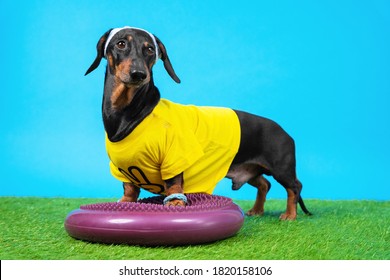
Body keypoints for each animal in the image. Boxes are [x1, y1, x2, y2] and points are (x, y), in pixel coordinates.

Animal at [85, 26, 310, 220]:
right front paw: (125, 202)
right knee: (264, 184)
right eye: (121, 44)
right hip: (251, 169)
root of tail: (284, 131)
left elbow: (173, 185)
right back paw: (257, 210)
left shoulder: (174, 158)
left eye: (150, 49)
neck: (132, 112)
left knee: (294, 187)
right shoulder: (122, 169)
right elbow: (130, 189)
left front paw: (175, 204)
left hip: (282, 168)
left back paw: (290, 214)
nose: (139, 74)